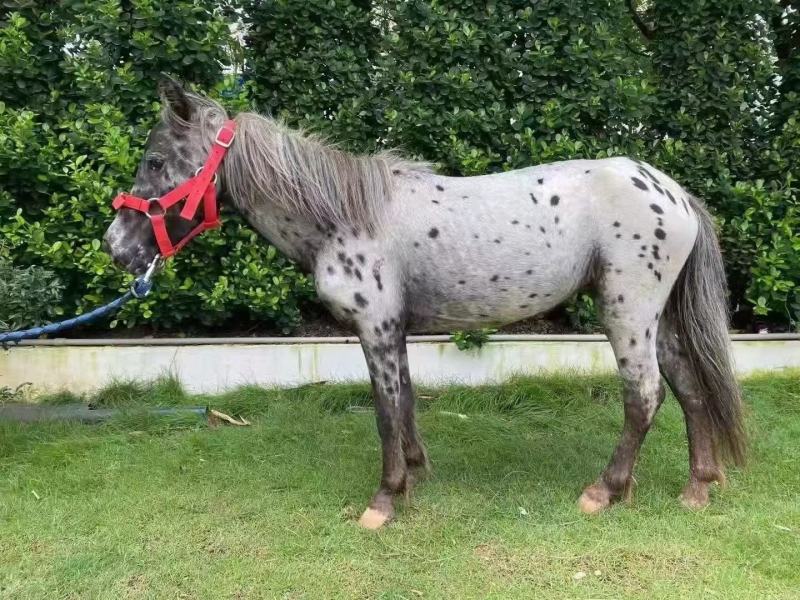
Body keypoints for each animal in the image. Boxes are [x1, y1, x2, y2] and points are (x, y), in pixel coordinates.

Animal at [104, 78, 745, 529]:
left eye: (156, 161)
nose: (116, 247)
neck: (346, 216)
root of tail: (673, 191)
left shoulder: (376, 327)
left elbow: (386, 408)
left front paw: (384, 501)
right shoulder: (395, 330)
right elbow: (406, 400)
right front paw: (415, 475)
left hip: (627, 313)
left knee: (645, 395)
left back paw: (604, 491)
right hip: (654, 319)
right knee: (688, 387)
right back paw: (697, 487)